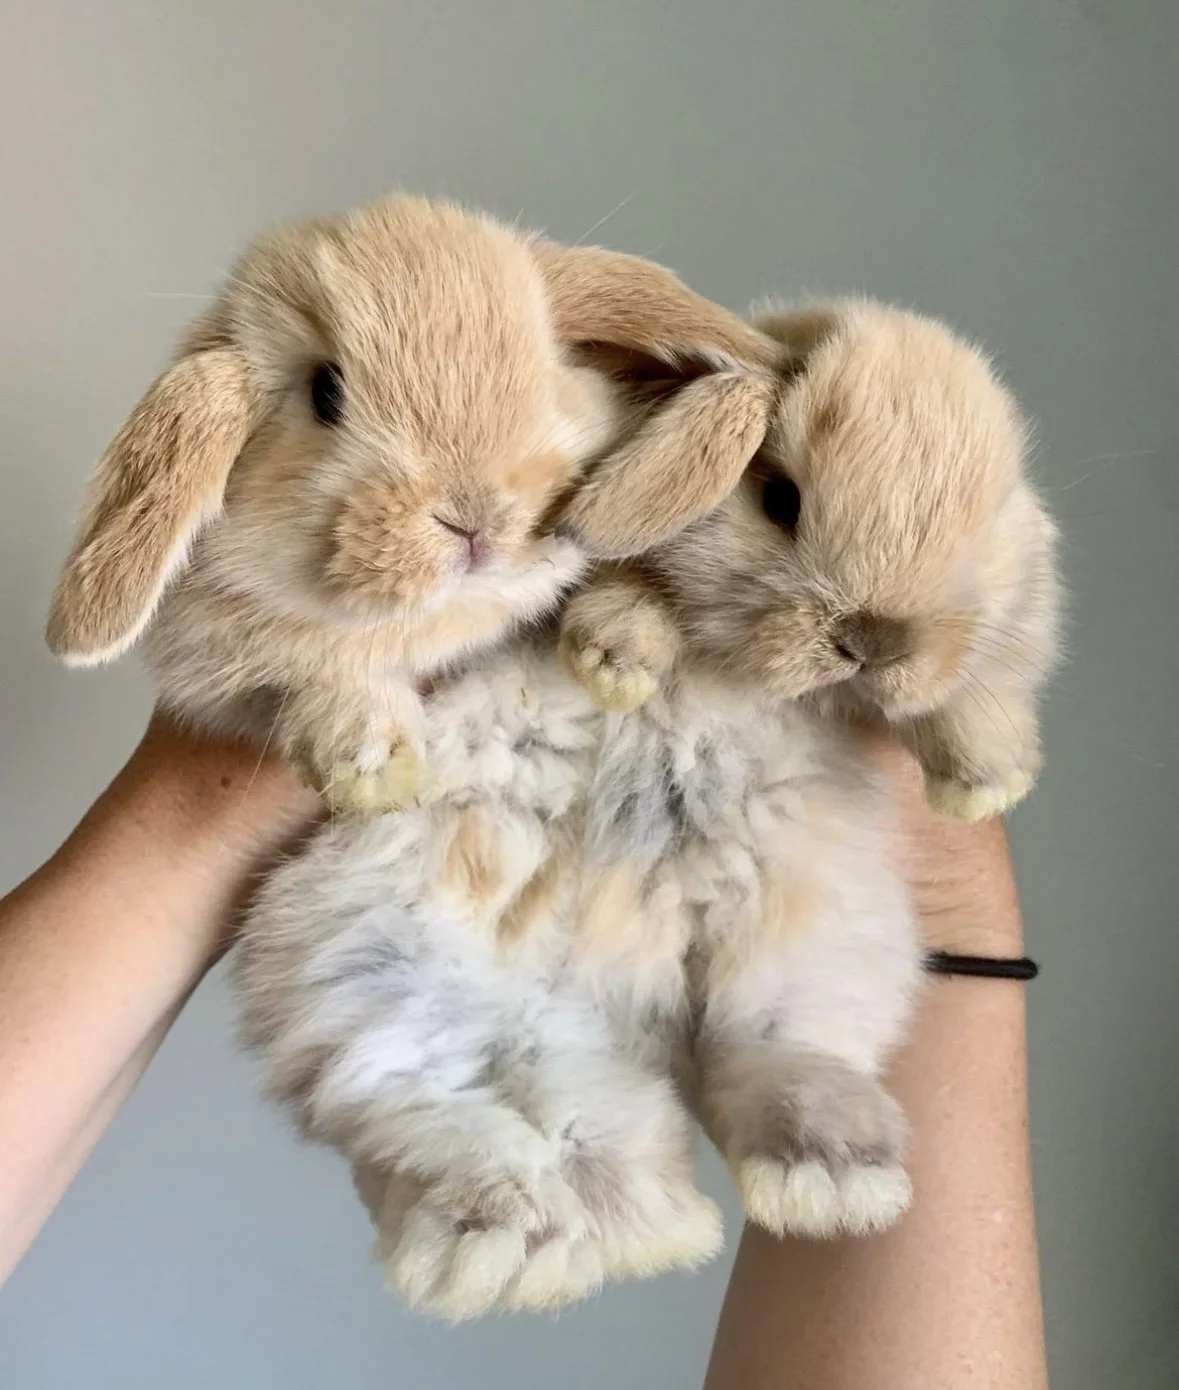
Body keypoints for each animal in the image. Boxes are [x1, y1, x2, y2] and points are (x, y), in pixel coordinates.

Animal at [45, 193, 775, 814]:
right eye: (326, 392)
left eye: (547, 372)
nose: (474, 519)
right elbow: (318, 675)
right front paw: (367, 766)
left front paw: (616, 663)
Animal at [563, 298, 1061, 823]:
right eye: (781, 501)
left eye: (988, 528)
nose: (871, 645)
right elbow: (635, 595)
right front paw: (613, 672)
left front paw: (984, 789)